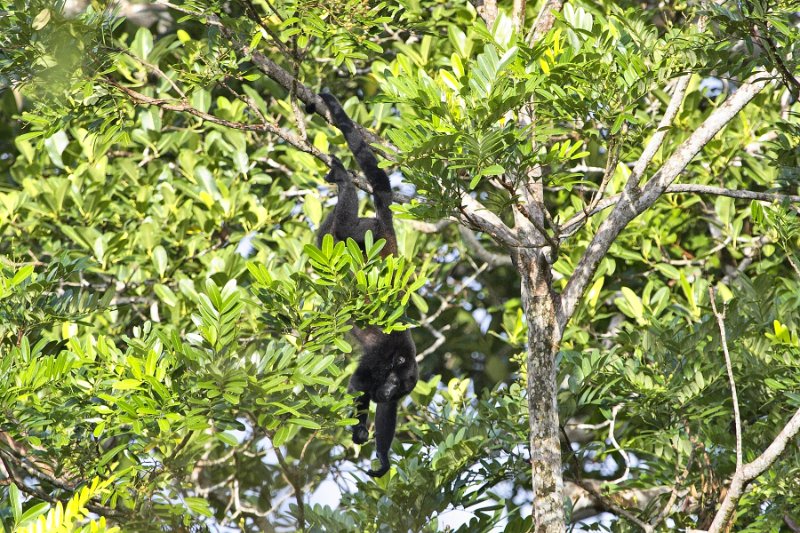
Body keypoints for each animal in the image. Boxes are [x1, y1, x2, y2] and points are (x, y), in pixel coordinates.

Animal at [310, 92, 416, 478]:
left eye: (400, 392)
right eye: (394, 381)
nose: (388, 392)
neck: (400, 358)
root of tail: (385, 233)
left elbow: (386, 414)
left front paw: (383, 456)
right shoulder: (379, 358)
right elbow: (358, 384)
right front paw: (358, 429)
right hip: (357, 234)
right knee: (342, 222)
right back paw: (343, 180)